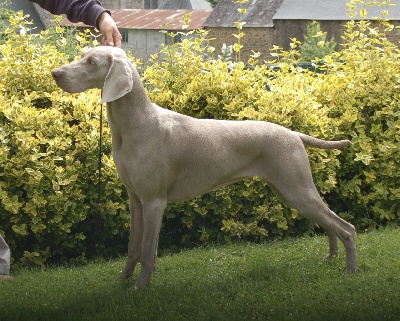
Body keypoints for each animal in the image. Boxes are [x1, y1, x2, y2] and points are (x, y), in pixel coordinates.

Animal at [51, 45, 358, 288]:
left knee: (347, 227)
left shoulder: (154, 201)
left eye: (92, 62)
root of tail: (294, 134)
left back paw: (349, 270)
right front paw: (124, 280)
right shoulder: (135, 199)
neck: (135, 125)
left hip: (296, 188)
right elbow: (134, 247)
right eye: (82, 55)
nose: (55, 73)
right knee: (330, 221)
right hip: (288, 190)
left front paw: (140, 287)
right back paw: (332, 256)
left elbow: (148, 251)